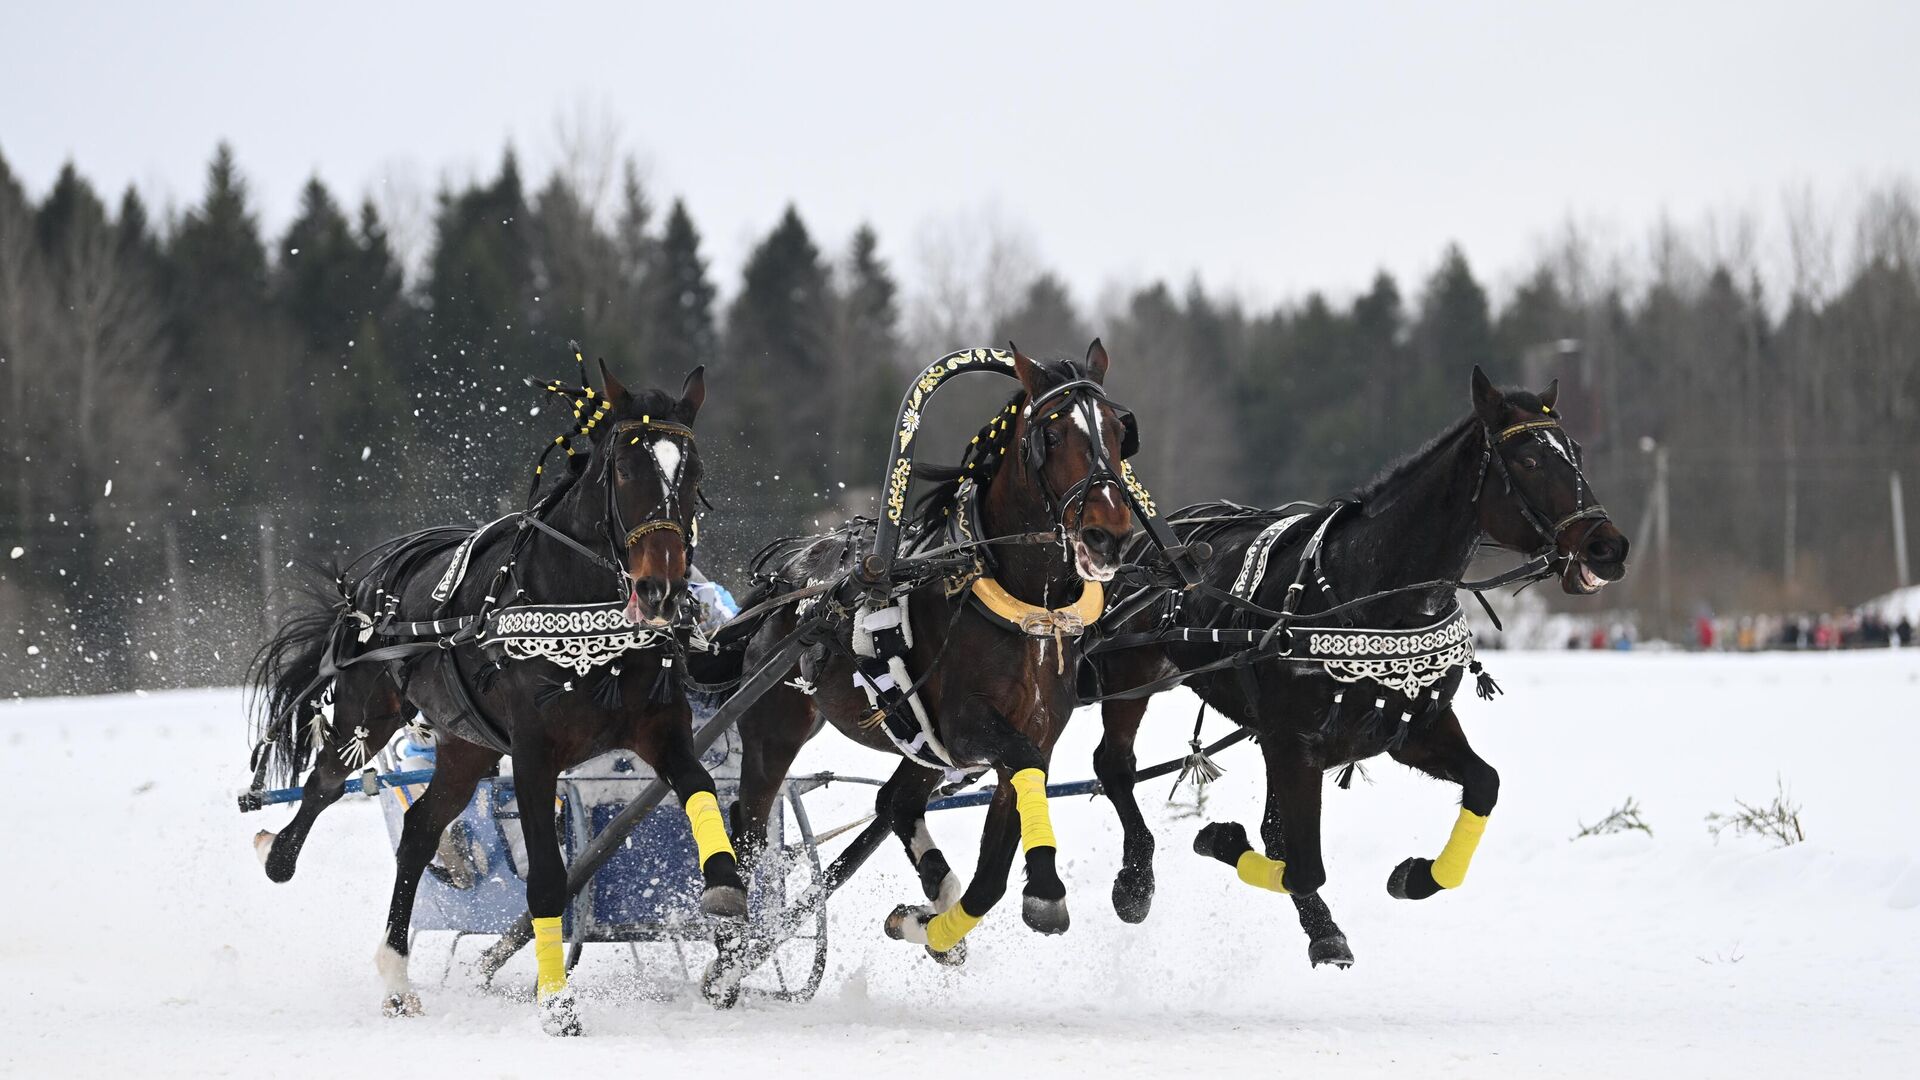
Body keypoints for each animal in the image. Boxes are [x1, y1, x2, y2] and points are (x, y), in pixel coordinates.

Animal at [251, 357, 729, 1030]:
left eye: (694, 473)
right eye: (624, 469)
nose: (660, 588)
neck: (584, 616)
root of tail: (370, 581)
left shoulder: (660, 730)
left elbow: (700, 787)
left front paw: (726, 883)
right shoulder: (533, 753)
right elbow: (548, 877)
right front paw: (556, 1001)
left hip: (466, 745)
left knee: (421, 830)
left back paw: (397, 974)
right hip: (367, 709)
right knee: (324, 781)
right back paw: (281, 856)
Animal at [721, 342, 1136, 976]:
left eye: (1117, 429)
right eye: (1053, 432)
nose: (1108, 534)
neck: (1020, 604)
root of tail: (786, 576)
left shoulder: (1031, 733)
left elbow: (991, 874)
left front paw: (935, 925)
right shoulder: (971, 728)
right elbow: (1021, 770)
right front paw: (1045, 888)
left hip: (918, 743)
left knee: (895, 801)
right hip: (774, 728)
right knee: (748, 828)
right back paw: (735, 943)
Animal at [1090, 368, 1628, 968]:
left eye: (1576, 451)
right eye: (1530, 460)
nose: (1608, 547)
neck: (1369, 592)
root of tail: (1147, 543)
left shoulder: (1410, 729)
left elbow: (1483, 784)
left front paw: (1418, 876)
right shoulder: (1293, 741)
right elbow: (1303, 865)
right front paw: (1232, 850)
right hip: (1132, 675)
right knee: (1115, 765)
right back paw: (1135, 882)